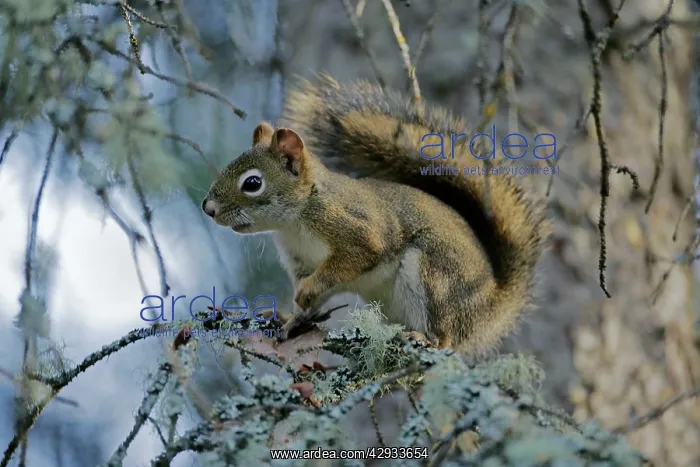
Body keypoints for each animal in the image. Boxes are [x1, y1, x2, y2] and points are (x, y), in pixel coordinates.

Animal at [201, 74, 549, 353]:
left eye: (252, 183)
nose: (208, 208)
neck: (296, 222)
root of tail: (489, 309)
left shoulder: (354, 228)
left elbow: (350, 260)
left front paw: (307, 292)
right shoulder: (300, 260)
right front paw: (289, 318)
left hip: (438, 276)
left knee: (448, 337)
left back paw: (428, 340)